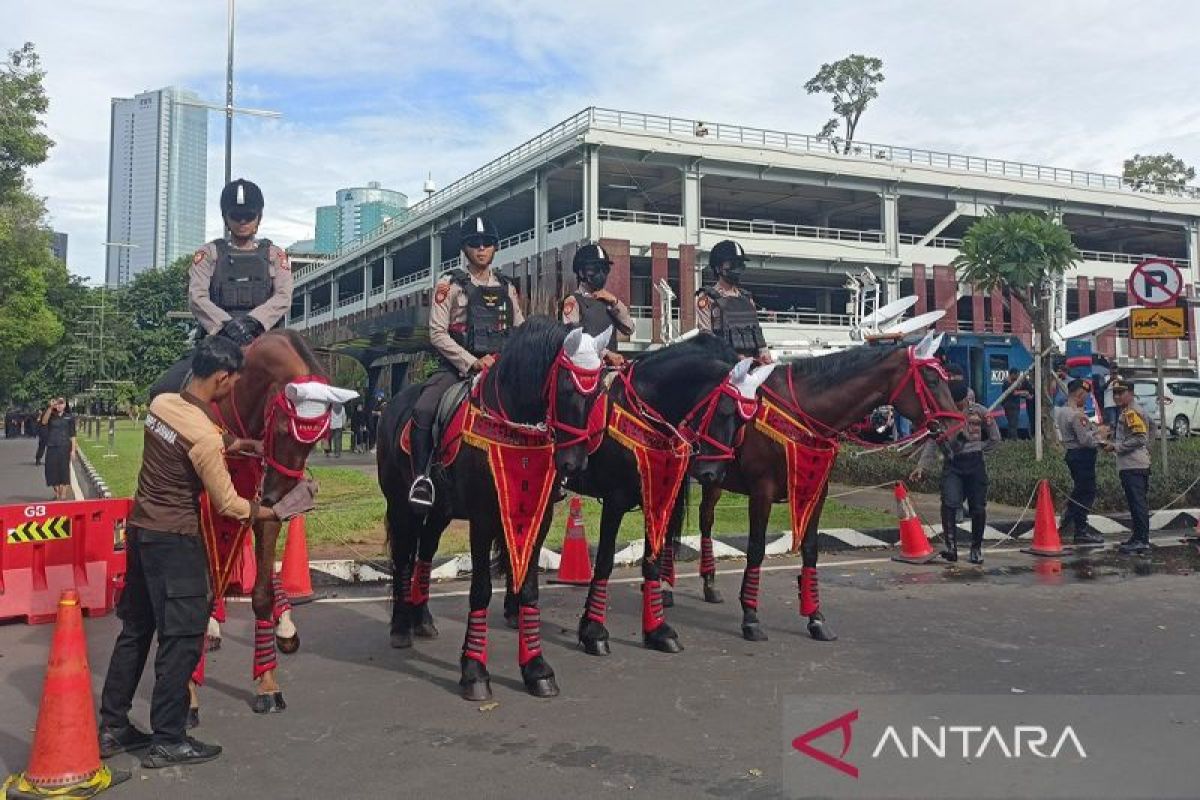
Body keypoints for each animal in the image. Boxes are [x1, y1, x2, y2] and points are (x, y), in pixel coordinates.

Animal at [379, 319, 609, 700]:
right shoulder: (483, 519)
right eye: (565, 387)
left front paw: (536, 668)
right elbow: (481, 590)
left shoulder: (538, 515)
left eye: (596, 394)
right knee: (403, 559)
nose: (573, 464)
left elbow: (529, 587)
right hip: (401, 506)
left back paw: (422, 618)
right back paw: (400, 627)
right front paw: (474, 672)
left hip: (440, 512)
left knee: (424, 554)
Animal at [571, 335, 777, 657]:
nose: (712, 474)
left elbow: (652, 561)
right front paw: (593, 632)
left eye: (744, 422)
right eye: (724, 411)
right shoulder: (615, 500)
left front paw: (657, 630)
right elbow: (604, 561)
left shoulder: (656, 497)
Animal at [686, 335, 955, 642]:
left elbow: (810, 549)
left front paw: (815, 617)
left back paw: (709, 585)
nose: (957, 428)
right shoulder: (761, 492)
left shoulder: (817, 490)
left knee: (705, 519)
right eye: (931, 380)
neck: (800, 412)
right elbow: (755, 548)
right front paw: (751, 617)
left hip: (713, 479)